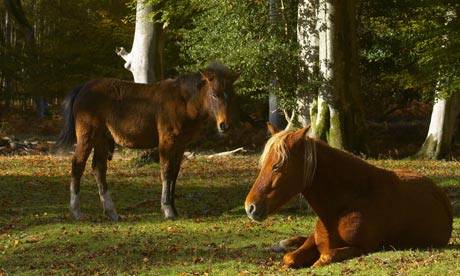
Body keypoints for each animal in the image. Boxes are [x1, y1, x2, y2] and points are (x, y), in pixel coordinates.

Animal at [55, 64, 239, 220]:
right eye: (215, 94)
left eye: (232, 95)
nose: (225, 125)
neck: (183, 103)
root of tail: (83, 88)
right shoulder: (167, 141)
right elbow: (166, 171)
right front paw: (167, 210)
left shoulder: (181, 145)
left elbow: (174, 174)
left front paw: (174, 209)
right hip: (88, 135)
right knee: (78, 164)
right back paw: (77, 211)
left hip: (102, 138)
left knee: (99, 168)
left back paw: (112, 212)